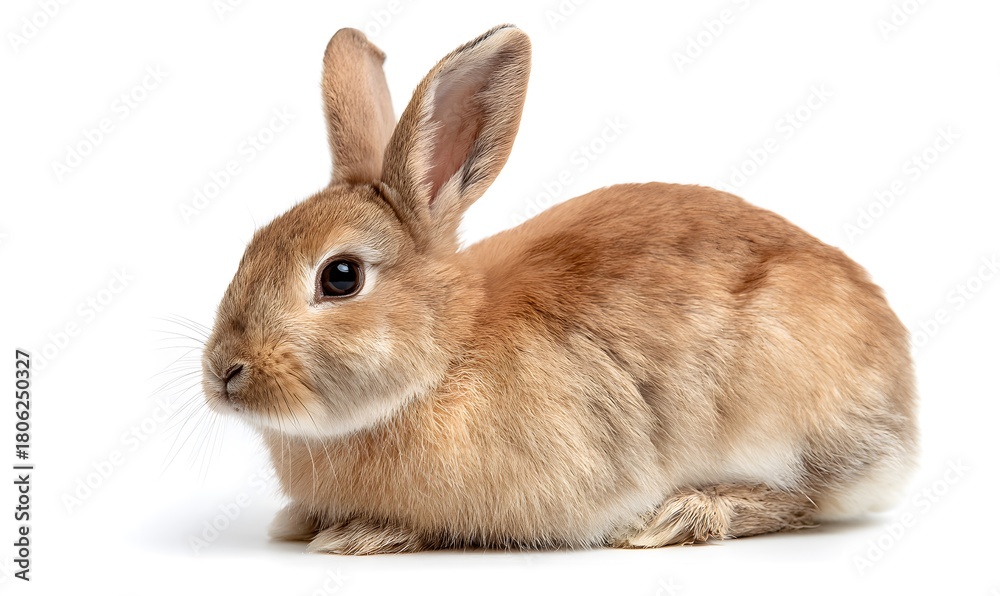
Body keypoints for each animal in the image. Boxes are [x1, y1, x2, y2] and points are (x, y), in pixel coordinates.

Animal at [200, 24, 918, 555]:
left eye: (341, 276)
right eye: (252, 246)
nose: (224, 372)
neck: (446, 356)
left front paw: (362, 534)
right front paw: (300, 522)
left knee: (803, 499)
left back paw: (683, 516)